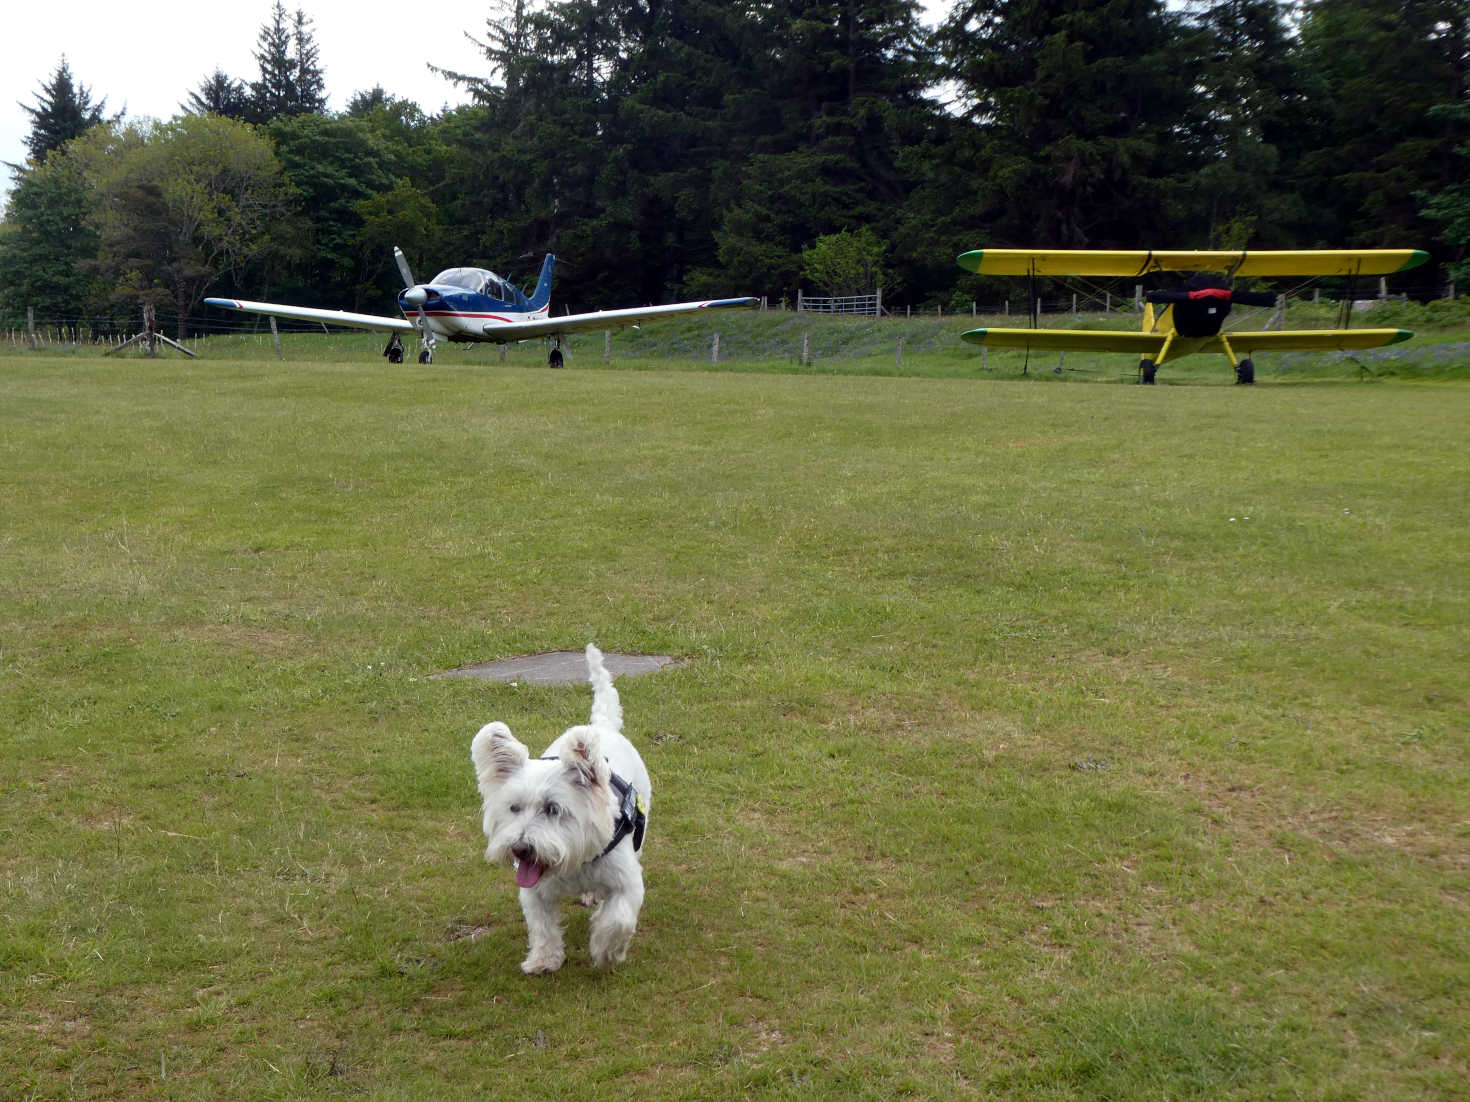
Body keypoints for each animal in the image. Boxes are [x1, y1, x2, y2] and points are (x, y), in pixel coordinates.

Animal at [470, 646, 655, 975]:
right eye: (513, 807)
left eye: (553, 809)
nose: (520, 849)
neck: (573, 861)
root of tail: (602, 727)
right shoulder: (534, 892)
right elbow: (543, 928)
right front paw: (544, 960)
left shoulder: (627, 883)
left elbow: (617, 920)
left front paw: (605, 952)